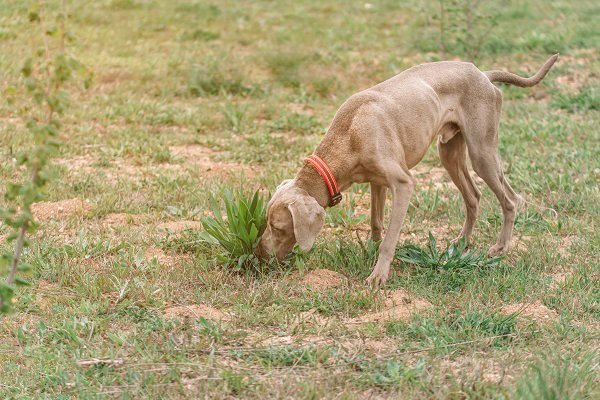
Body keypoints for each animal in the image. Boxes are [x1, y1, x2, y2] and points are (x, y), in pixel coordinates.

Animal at [253, 54, 556, 286]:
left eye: (278, 227)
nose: (258, 254)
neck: (349, 133)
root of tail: (482, 73)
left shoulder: (402, 183)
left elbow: (390, 237)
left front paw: (378, 275)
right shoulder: (377, 183)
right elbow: (376, 222)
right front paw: (371, 251)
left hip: (482, 151)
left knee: (510, 199)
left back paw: (500, 247)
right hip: (448, 152)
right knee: (474, 196)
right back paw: (461, 243)